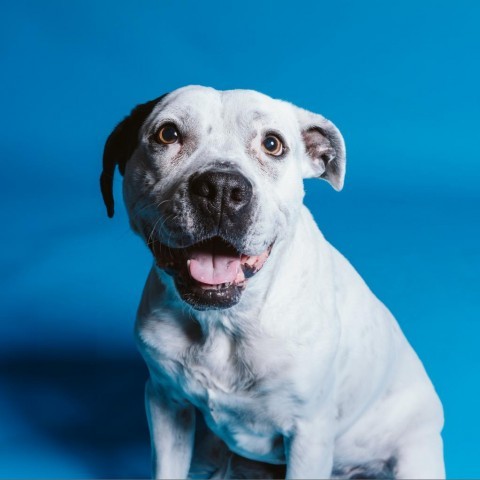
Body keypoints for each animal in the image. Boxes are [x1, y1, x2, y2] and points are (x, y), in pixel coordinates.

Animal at [100, 84, 446, 478]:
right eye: (168, 134)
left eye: (272, 144)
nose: (221, 187)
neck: (225, 323)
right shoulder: (166, 402)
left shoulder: (309, 436)